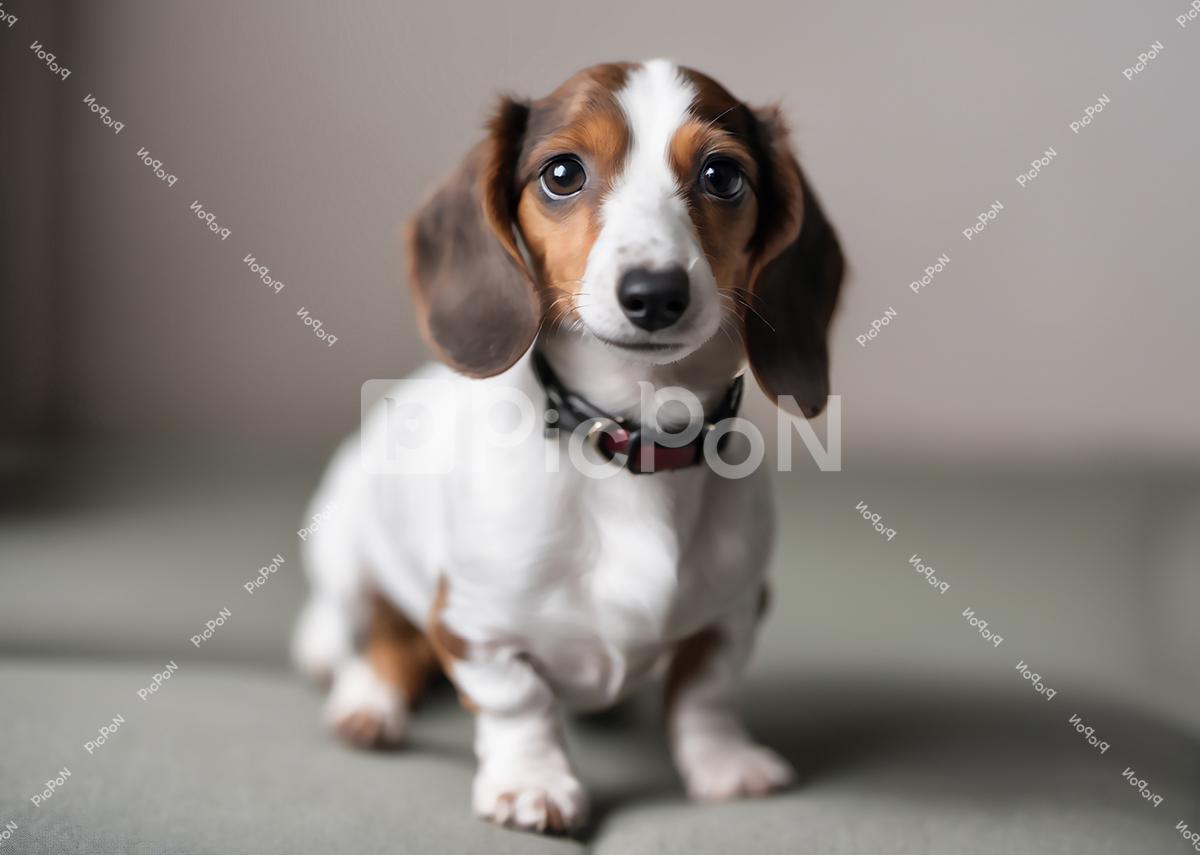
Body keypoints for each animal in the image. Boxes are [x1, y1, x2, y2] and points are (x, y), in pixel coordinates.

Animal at [292, 58, 843, 834]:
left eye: (723, 175)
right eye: (561, 173)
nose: (654, 293)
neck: (634, 441)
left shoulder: (735, 608)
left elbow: (704, 692)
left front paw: (724, 764)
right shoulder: (474, 626)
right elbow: (518, 702)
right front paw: (532, 782)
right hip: (344, 555)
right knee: (376, 636)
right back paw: (367, 700)